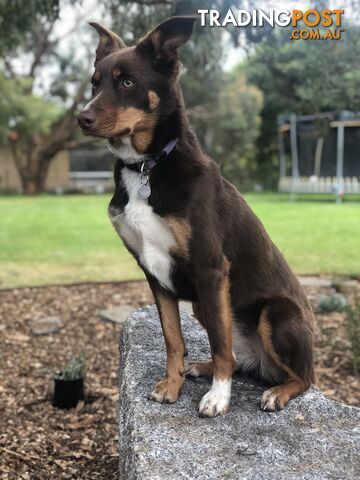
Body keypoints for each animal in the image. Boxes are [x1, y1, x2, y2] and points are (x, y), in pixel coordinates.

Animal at [77, 15, 314, 416]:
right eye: (95, 83)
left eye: (127, 82)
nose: (82, 118)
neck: (147, 166)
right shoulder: (153, 271)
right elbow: (173, 338)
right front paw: (172, 385)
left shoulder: (210, 269)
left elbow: (219, 343)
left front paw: (218, 398)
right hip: (205, 305)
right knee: (238, 357)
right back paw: (202, 368)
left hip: (275, 312)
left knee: (301, 376)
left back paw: (277, 392)